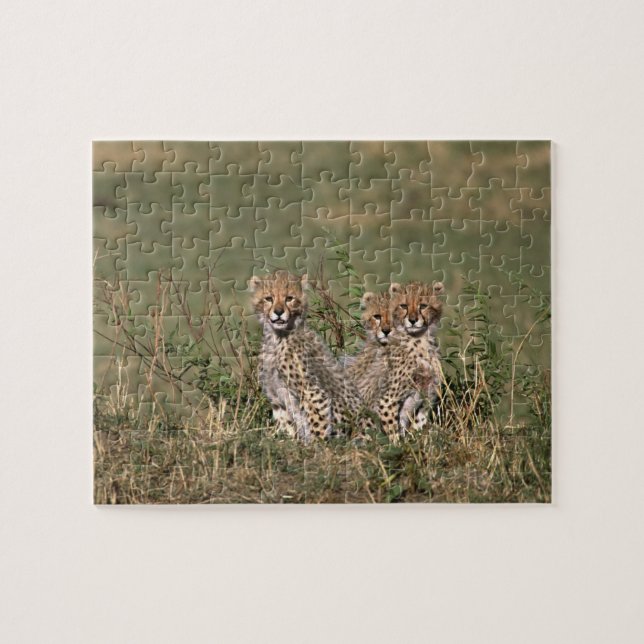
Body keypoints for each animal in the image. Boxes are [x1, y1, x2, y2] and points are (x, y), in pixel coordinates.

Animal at [250, 270, 368, 441]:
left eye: (289, 298)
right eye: (268, 298)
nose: (278, 312)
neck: (277, 338)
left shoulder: (313, 393)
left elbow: (318, 425)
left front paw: (317, 446)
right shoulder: (276, 399)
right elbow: (286, 426)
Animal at [375, 281, 445, 437]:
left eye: (423, 306)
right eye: (404, 306)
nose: (413, 320)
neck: (419, 340)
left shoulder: (428, 395)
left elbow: (419, 424)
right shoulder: (387, 400)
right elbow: (392, 431)